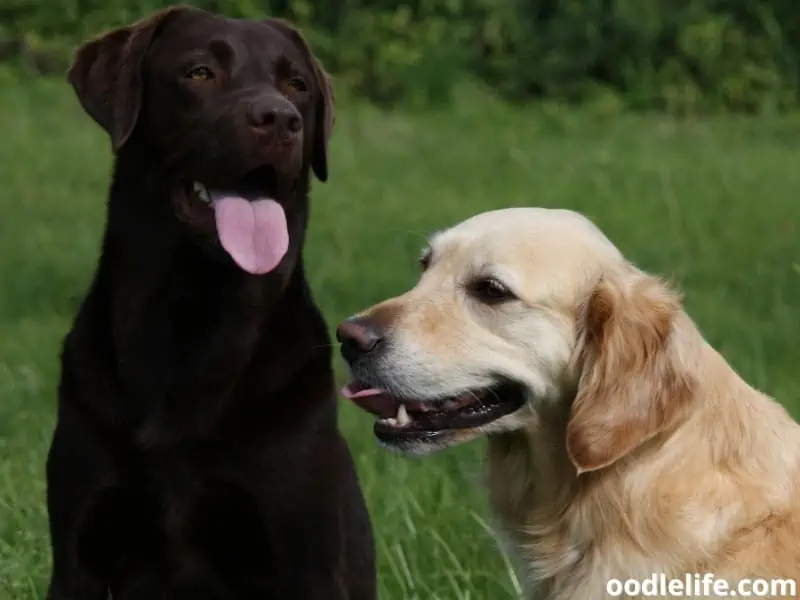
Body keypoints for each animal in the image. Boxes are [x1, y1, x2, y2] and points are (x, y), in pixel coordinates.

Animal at [45, 5, 376, 600]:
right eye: (199, 72)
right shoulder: (80, 553)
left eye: (297, 85)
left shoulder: (306, 555)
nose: (280, 118)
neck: (191, 309)